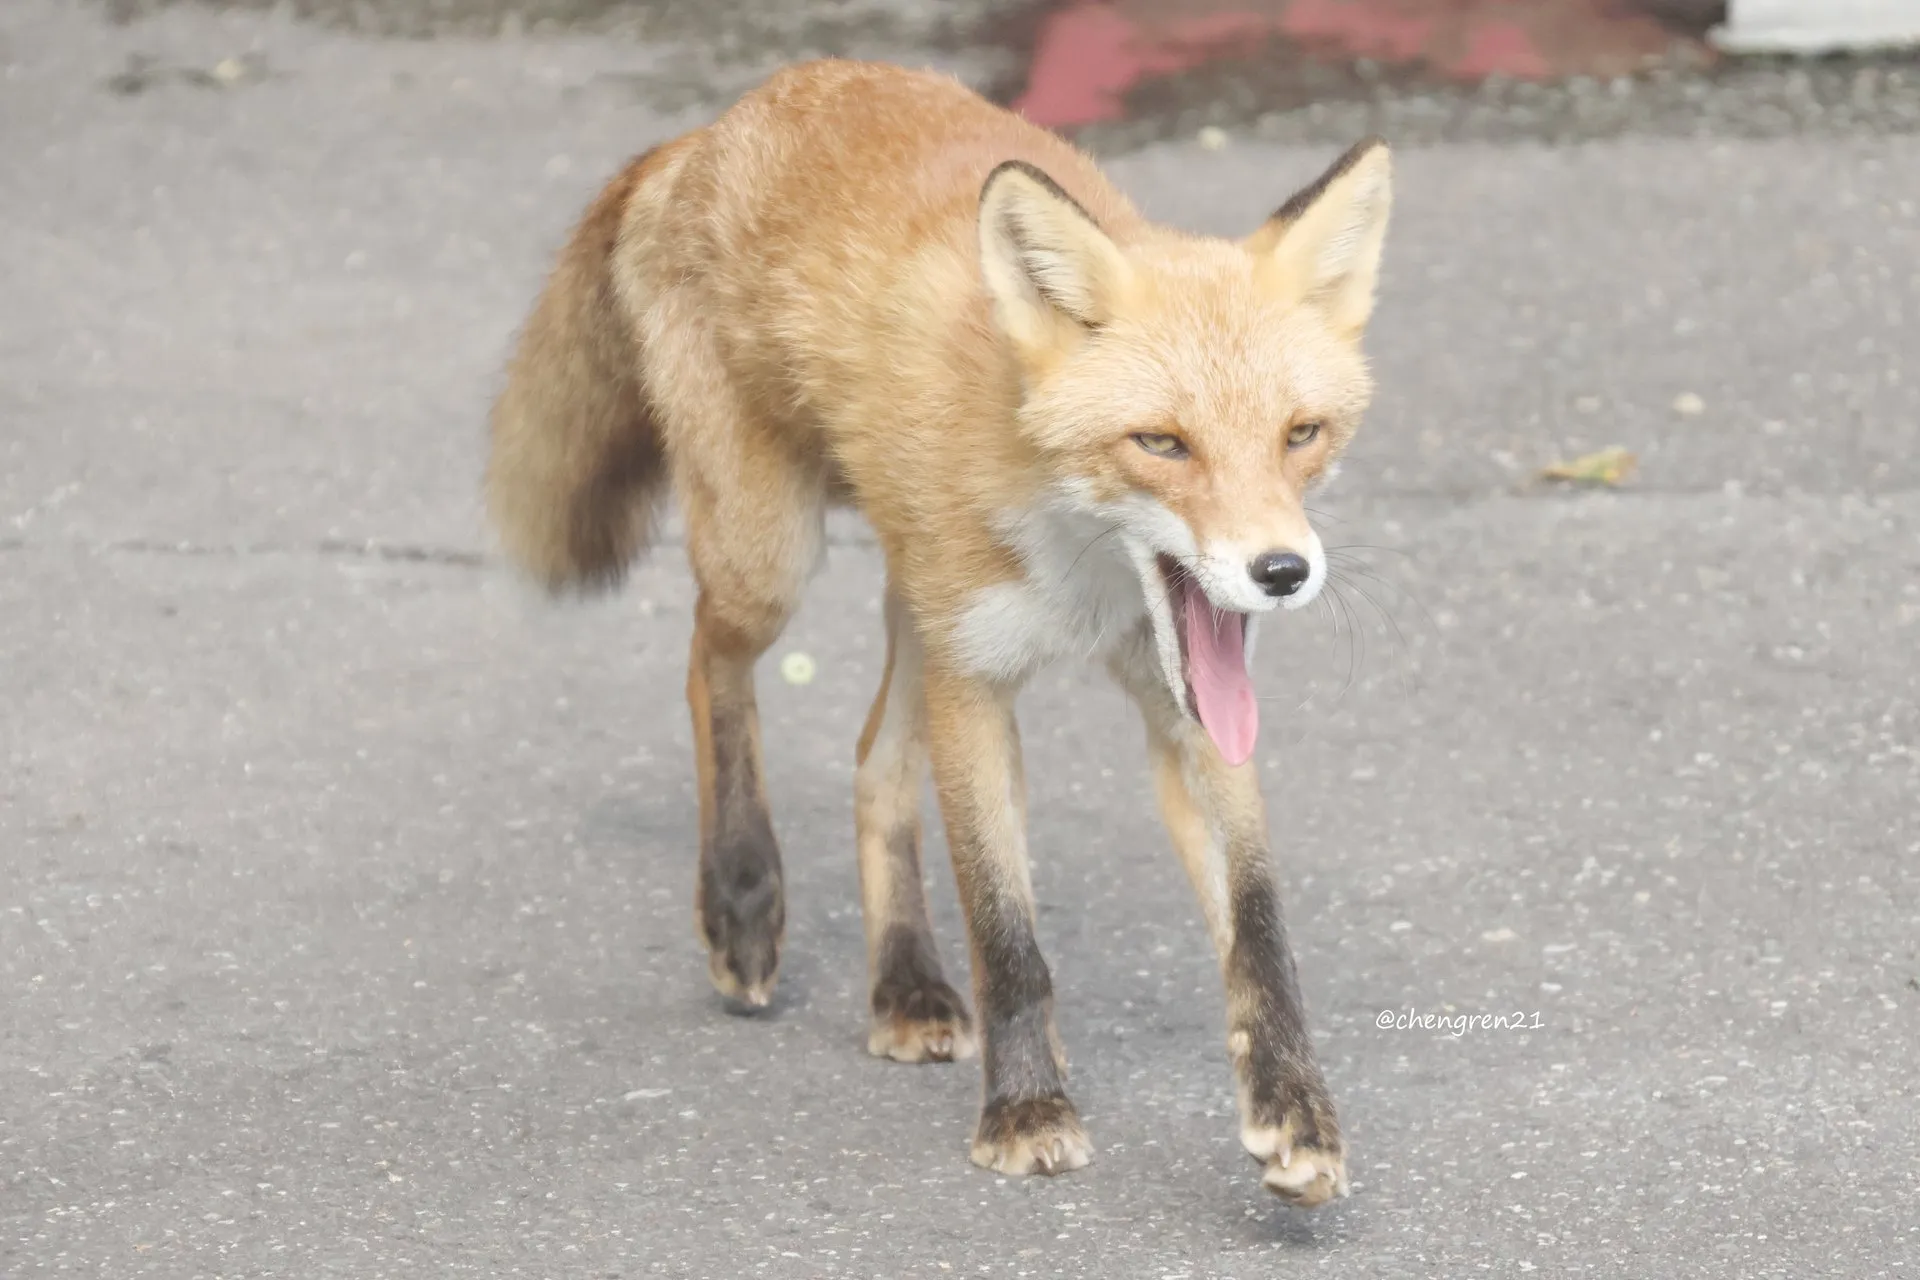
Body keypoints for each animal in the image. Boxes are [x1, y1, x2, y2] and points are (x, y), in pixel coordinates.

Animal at [486, 59, 1391, 1206]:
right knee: (706, 664)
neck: (1085, 569)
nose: (1281, 572)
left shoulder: (1182, 704)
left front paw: (1295, 1113)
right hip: (771, 556)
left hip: (912, 604)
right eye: (1161, 444)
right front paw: (1026, 1110)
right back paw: (742, 895)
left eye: (1300, 435)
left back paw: (906, 984)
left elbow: (1259, 924)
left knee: (873, 761)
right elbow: (1007, 934)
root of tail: (714, 129)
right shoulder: (978, 682)